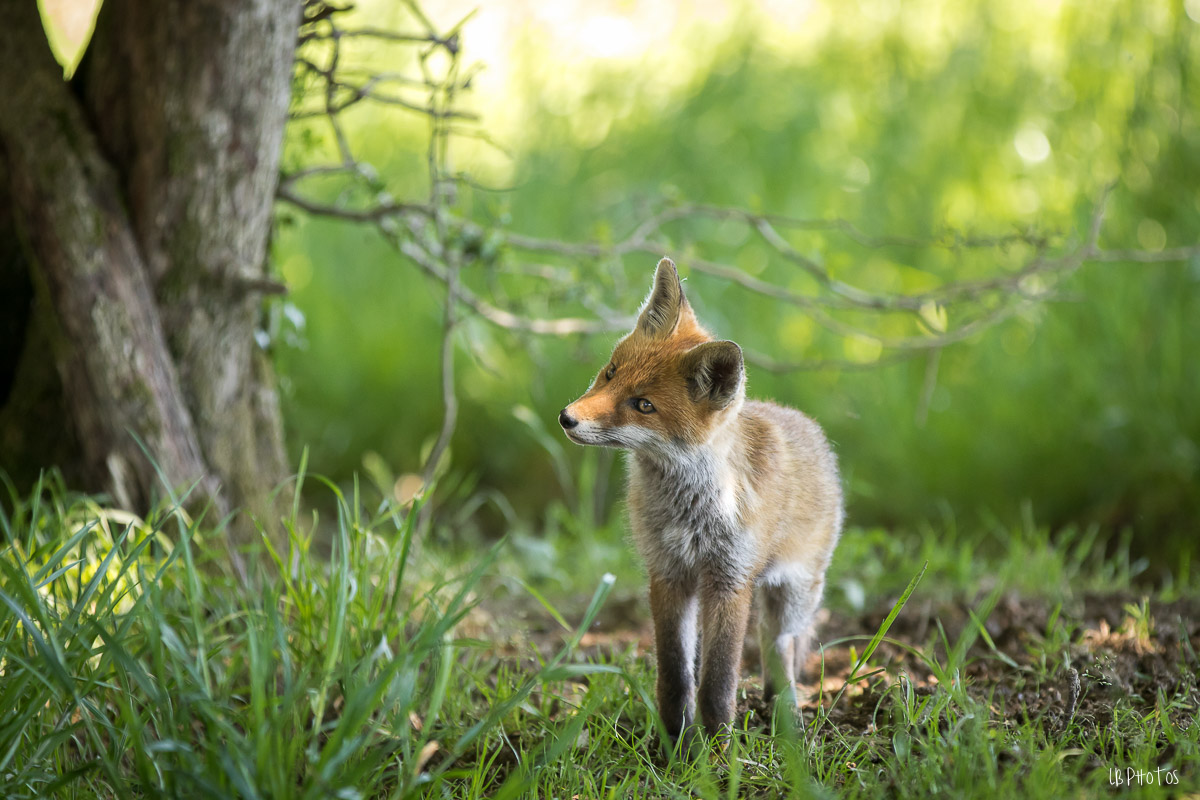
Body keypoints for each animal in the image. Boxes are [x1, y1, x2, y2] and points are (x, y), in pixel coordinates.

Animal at [558, 257, 843, 746]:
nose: (566, 418)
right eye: (611, 372)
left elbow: (718, 678)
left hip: (794, 592)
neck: (688, 511)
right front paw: (674, 742)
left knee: (779, 643)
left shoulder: (730, 580)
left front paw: (717, 747)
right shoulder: (668, 574)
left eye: (643, 405)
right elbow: (675, 674)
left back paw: (785, 707)